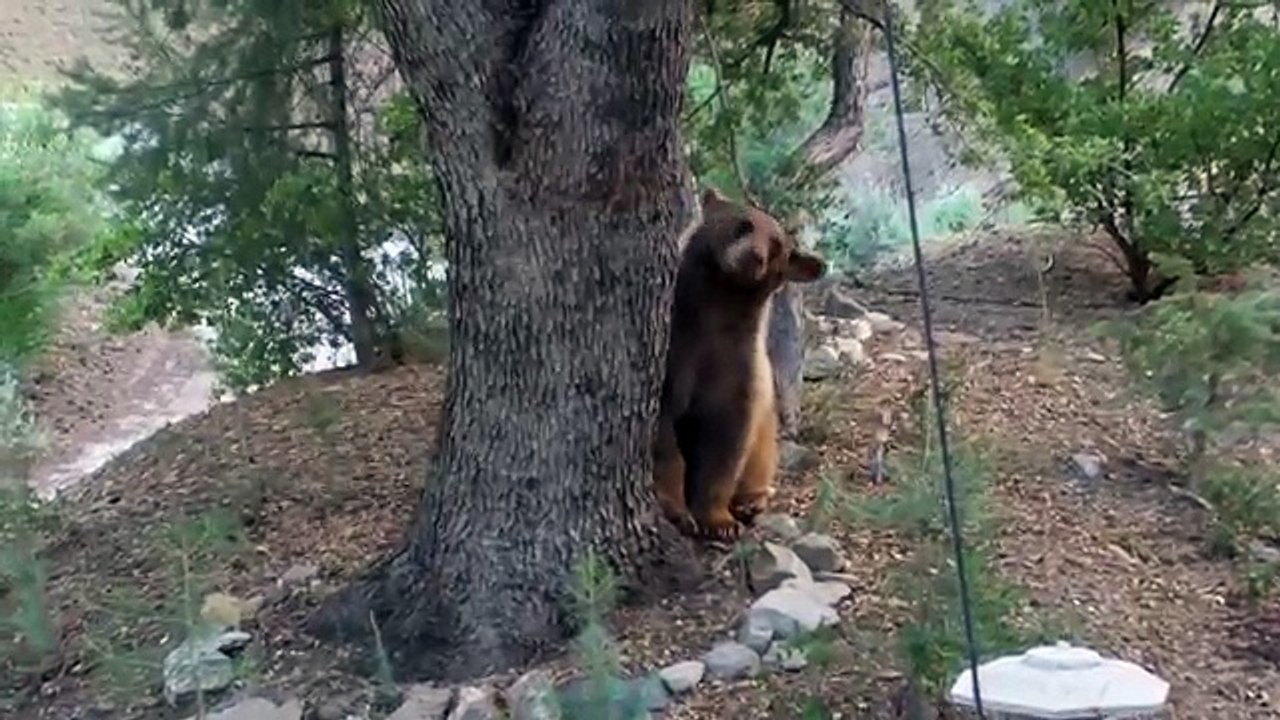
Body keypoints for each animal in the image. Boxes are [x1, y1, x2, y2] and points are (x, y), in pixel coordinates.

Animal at [653, 187, 827, 540]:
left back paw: (749, 504)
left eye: (777, 246)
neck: (721, 305)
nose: (754, 256)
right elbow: (667, 435)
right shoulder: (679, 352)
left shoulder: (740, 370)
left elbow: (724, 447)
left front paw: (719, 521)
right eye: (743, 225)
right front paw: (676, 509)